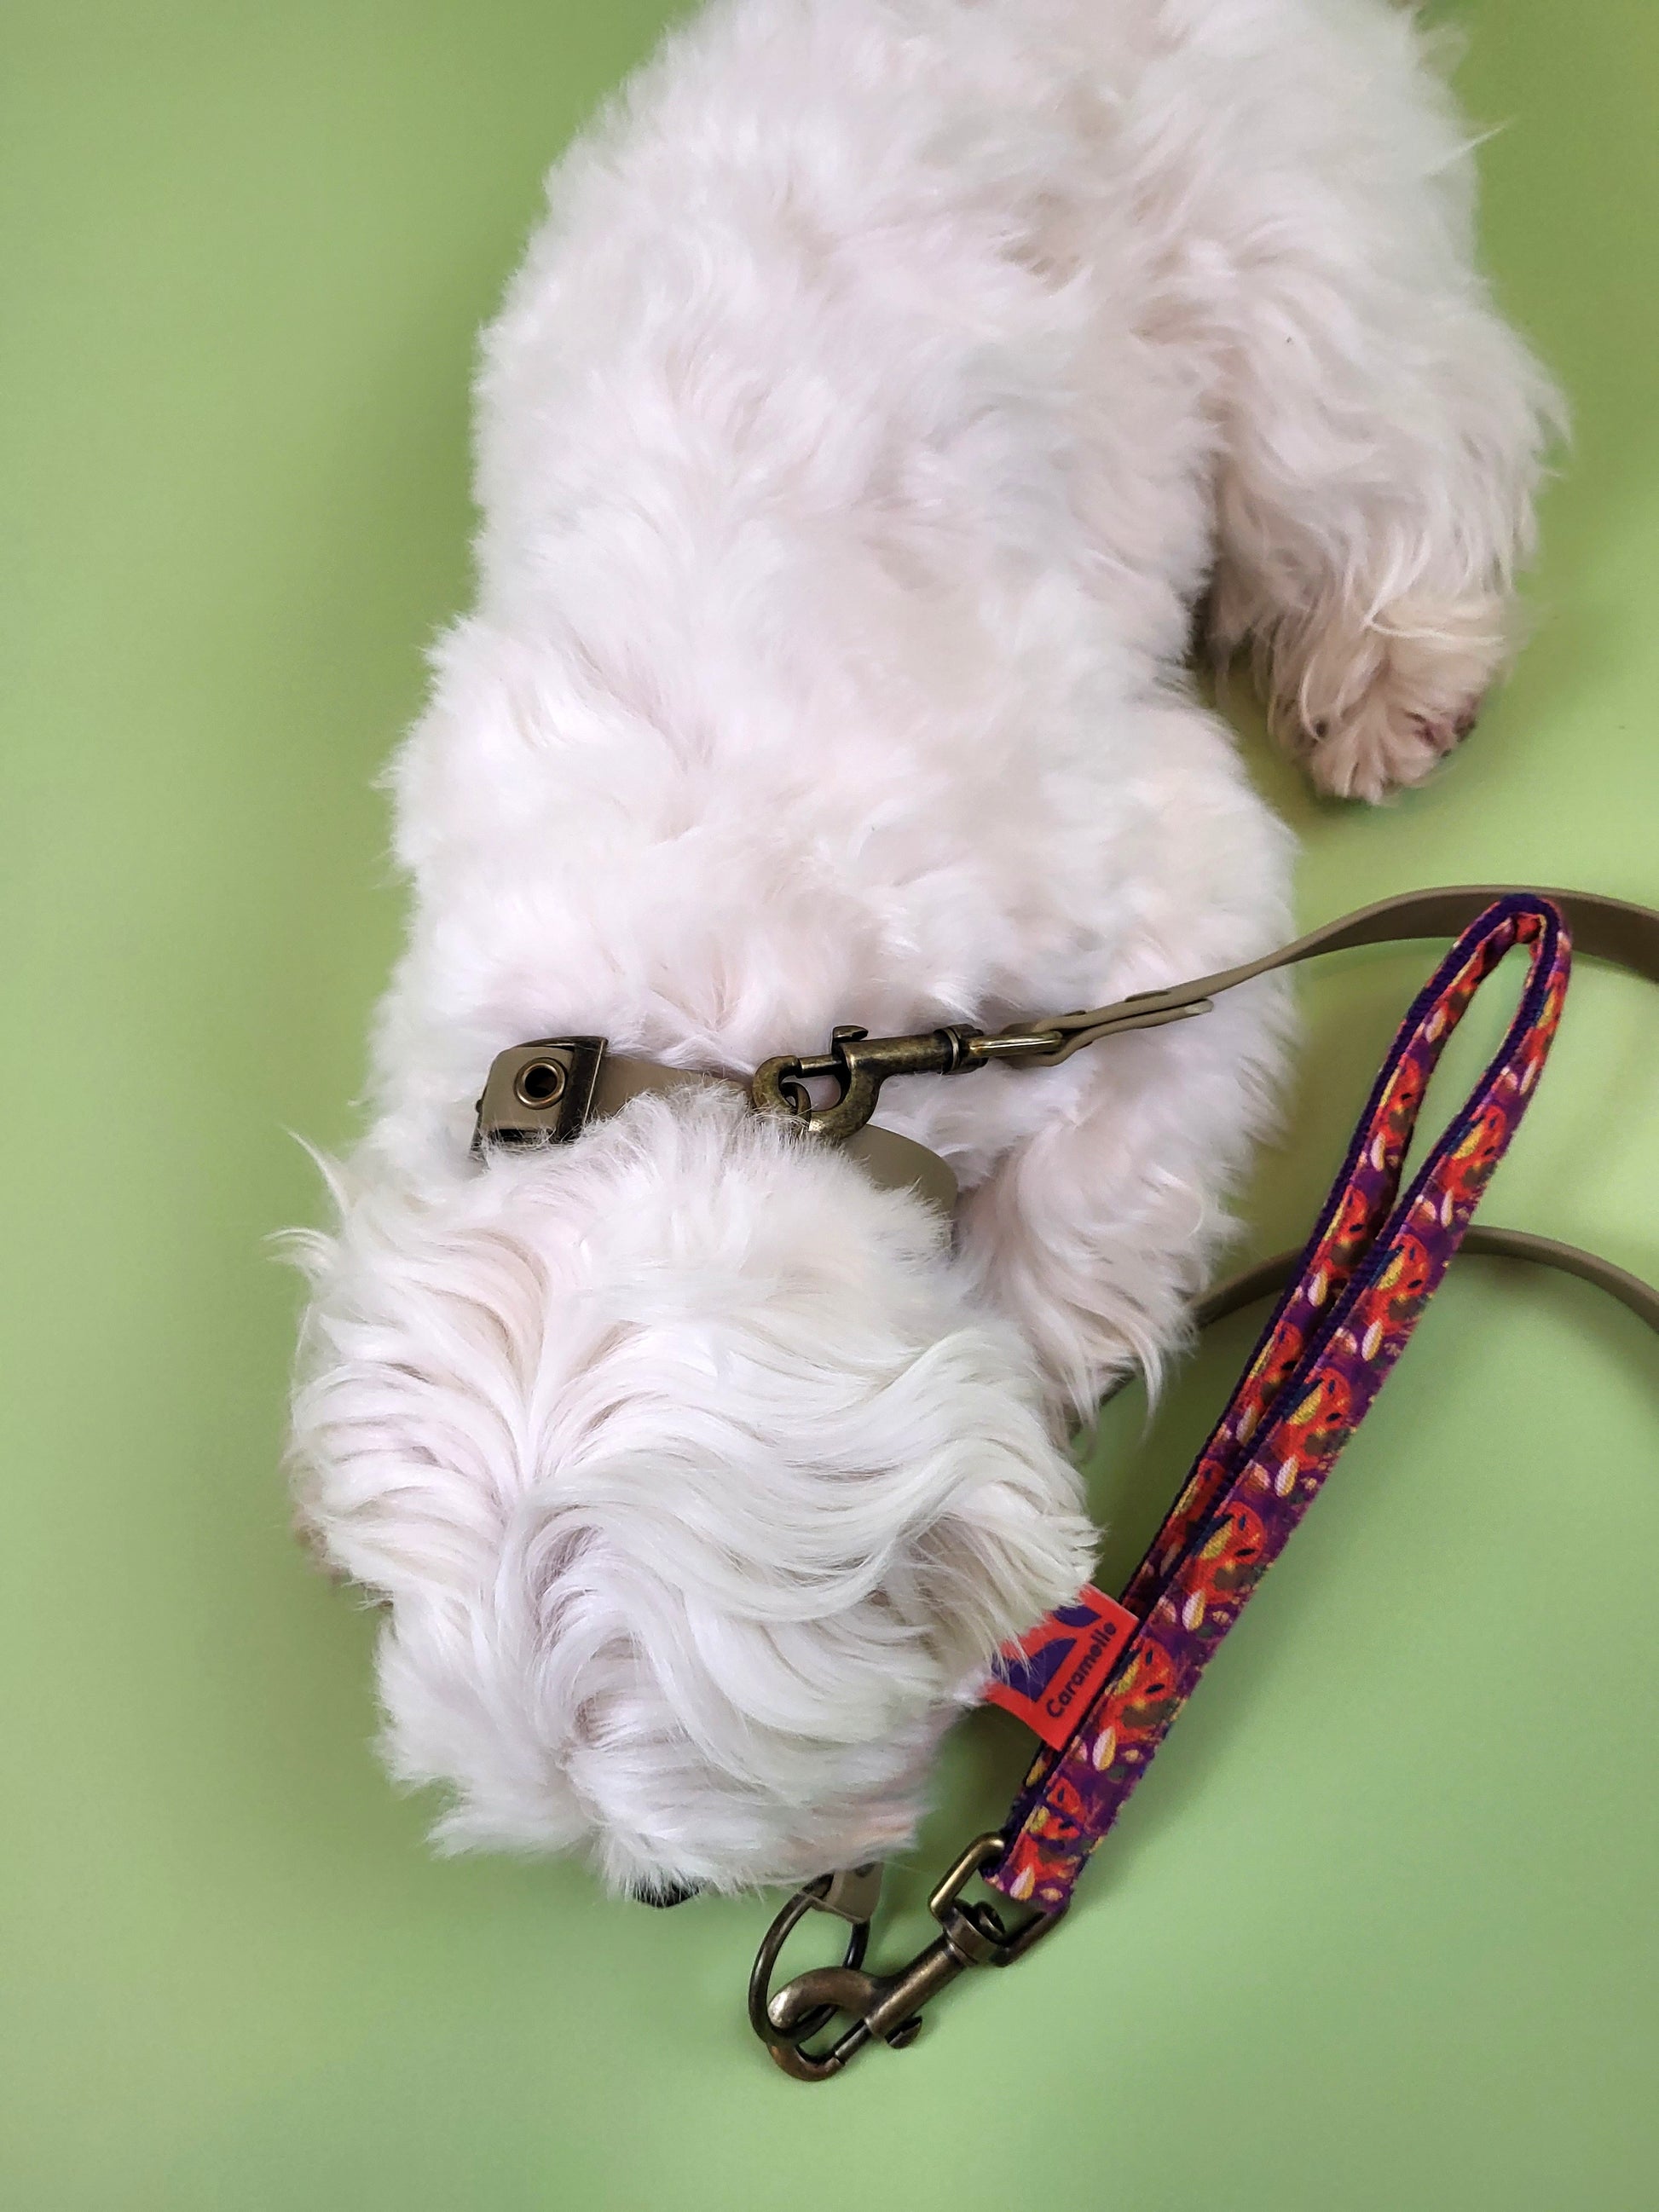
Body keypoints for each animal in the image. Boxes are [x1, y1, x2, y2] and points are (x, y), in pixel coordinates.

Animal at [289, 0, 1557, 1902]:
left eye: (682, 1836)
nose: (662, 1894)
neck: (689, 1053)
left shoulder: (1166, 922)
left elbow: (1081, 1218)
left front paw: (1037, 1385)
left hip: (1285, 264)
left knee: (1389, 426)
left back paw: (1387, 661)